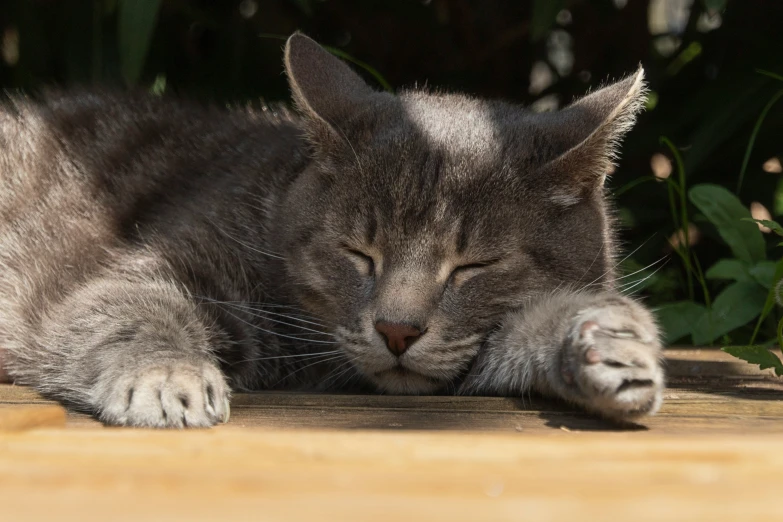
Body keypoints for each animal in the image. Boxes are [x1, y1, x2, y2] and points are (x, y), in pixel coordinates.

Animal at [0, 33, 660, 426]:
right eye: (358, 253)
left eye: (474, 266)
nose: (396, 330)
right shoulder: (143, 269)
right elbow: (130, 311)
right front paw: (167, 375)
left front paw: (603, 341)